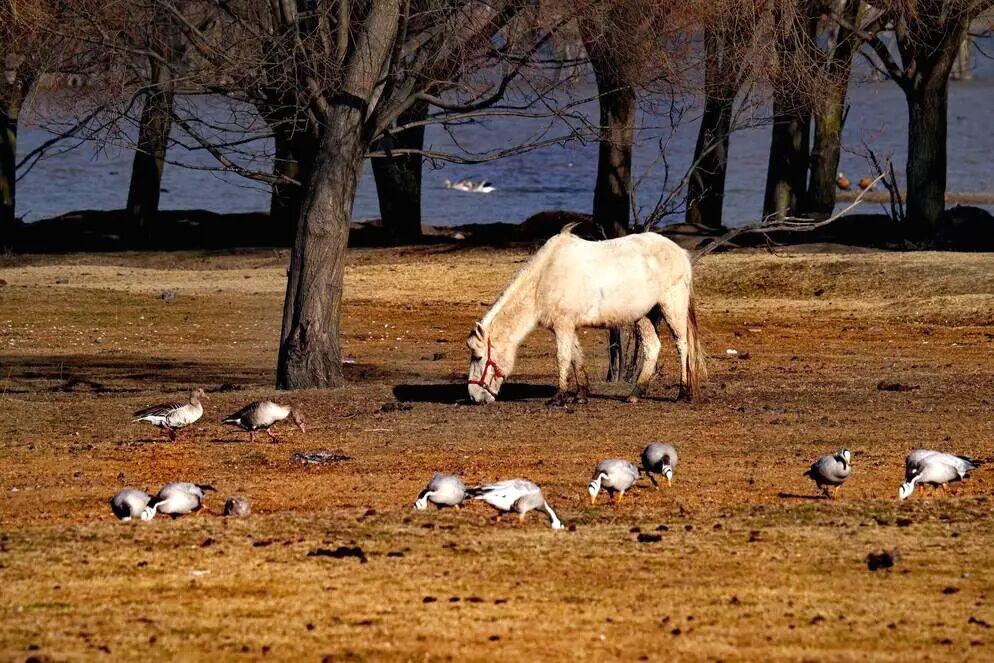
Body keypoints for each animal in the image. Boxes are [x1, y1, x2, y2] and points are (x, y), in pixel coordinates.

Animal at [467, 224, 706, 405]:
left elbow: (563, 358)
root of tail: (680, 253)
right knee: (652, 347)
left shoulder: (563, 325)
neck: (544, 278)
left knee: (682, 345)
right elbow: (576, 356)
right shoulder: (566, 326)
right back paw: (635, 393)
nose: (474, 397)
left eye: (478, 357)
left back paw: (682, 393)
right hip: (644, 315)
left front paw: (559, 397)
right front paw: (581, 395)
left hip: (672, 307)